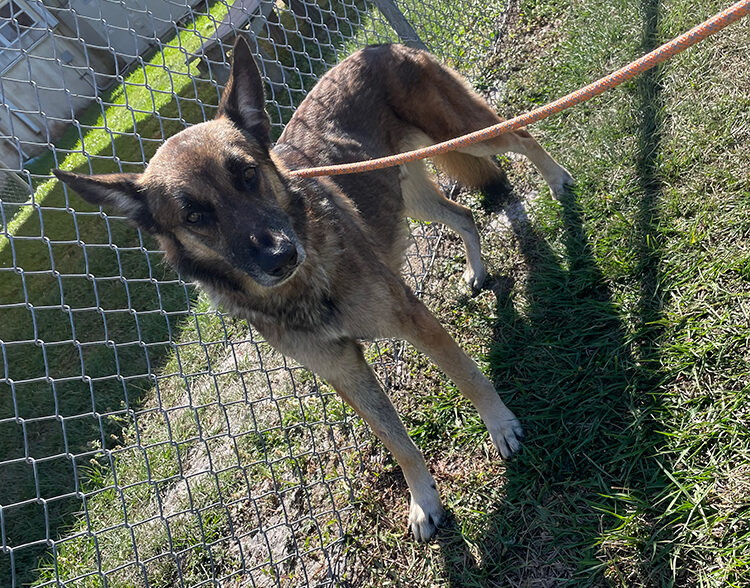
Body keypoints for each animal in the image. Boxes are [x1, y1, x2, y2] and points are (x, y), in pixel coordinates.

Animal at [54, 36, 576, 544]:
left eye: (248, 174)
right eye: (195, 215)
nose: (282, 256)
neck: (304, 288)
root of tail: (376, 47)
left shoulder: (414, 321)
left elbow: (469, 378)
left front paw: (500, 425)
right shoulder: (343, 372)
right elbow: (397, 443)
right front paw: (423, 500)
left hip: (473, 134)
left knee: (524, 136)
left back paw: (558, 181)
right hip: (409, 195)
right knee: (463, 215)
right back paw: (477, 271)